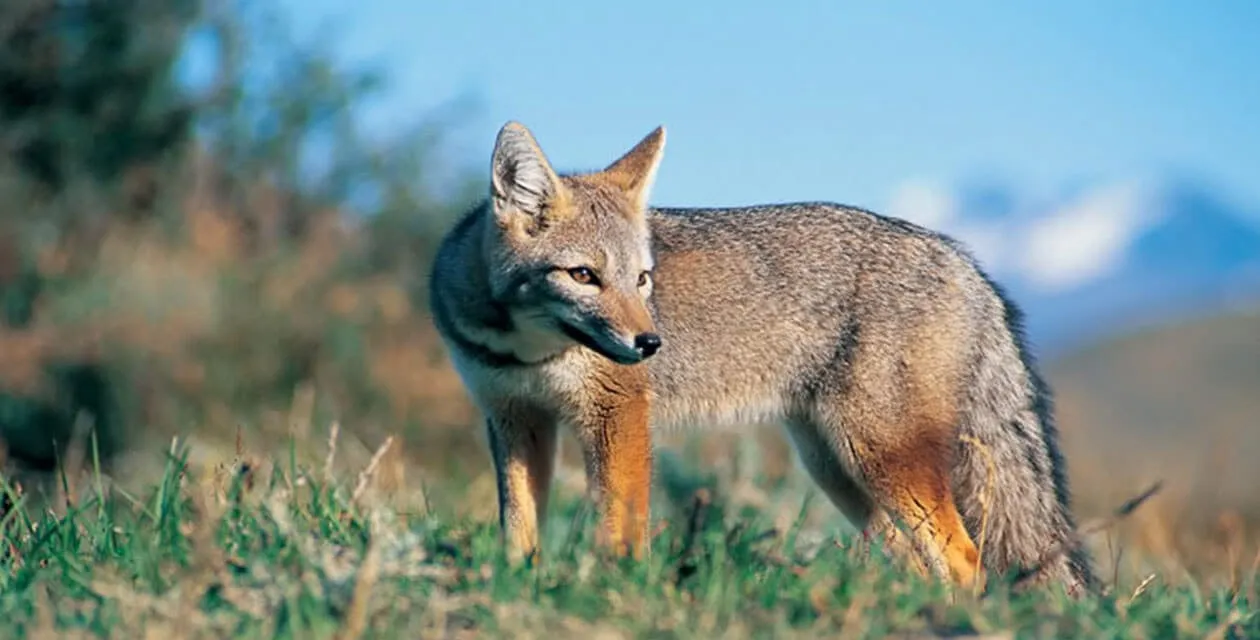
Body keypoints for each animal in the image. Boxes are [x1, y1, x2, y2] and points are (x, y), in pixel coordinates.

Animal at [428, 121, 1097, 595]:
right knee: (917, 561)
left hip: (879, 458)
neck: (529, 354)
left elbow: (619, 528)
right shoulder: (515, 417)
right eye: (584, 276)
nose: (650, 344)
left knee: (965, 563)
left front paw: (614, 594)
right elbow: (519, 526)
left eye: (642, 279)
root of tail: (962, 258)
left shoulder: (619, 417)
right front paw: (515, 588)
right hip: (838, 468)